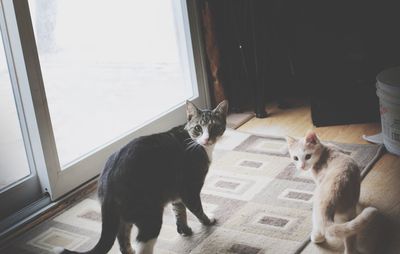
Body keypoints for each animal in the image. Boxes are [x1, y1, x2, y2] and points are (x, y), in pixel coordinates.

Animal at [55, 100, 228, 254]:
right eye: (198, 128)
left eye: (215, 127)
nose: (207, 139)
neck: (197, 144)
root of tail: (108, 183)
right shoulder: (189, 188)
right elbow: (196, 208)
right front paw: (208, 221)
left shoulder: (176, 192)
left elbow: (179, 212)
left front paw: (184, 230)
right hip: (150, 216)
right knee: (143, 245)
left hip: (124, 219)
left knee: (123, 242)